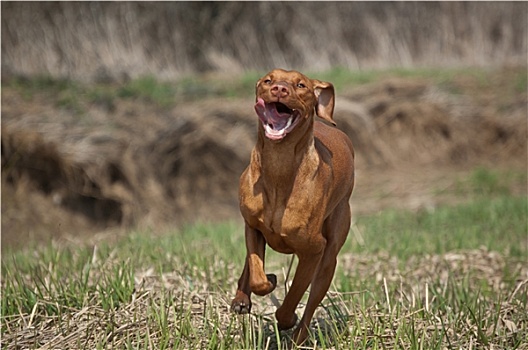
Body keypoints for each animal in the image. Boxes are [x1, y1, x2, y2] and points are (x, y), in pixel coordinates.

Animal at [231, 68, 354, 344]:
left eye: (301, 85)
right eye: (268, 80)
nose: (279, 89)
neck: (280, 167)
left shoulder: (313, 251)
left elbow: (295, 295)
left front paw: (287, 319)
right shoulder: (252, 227)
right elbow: (257, 274)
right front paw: (265, 281)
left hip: (330, 256)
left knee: (312, 301)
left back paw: (299, 337)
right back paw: (241, 298)